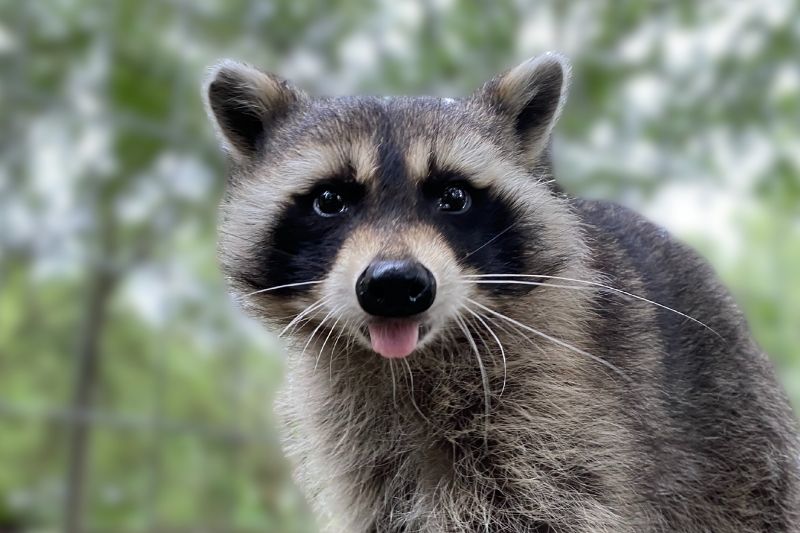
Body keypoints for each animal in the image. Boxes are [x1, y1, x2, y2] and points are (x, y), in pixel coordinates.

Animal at [203, 53, 800, 532]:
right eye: (330, 199)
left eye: (454, 197)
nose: (395, 285)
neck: (410, 363)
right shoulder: (359, 444)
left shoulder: (564, 410)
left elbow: (545, 506)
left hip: (749, 447)